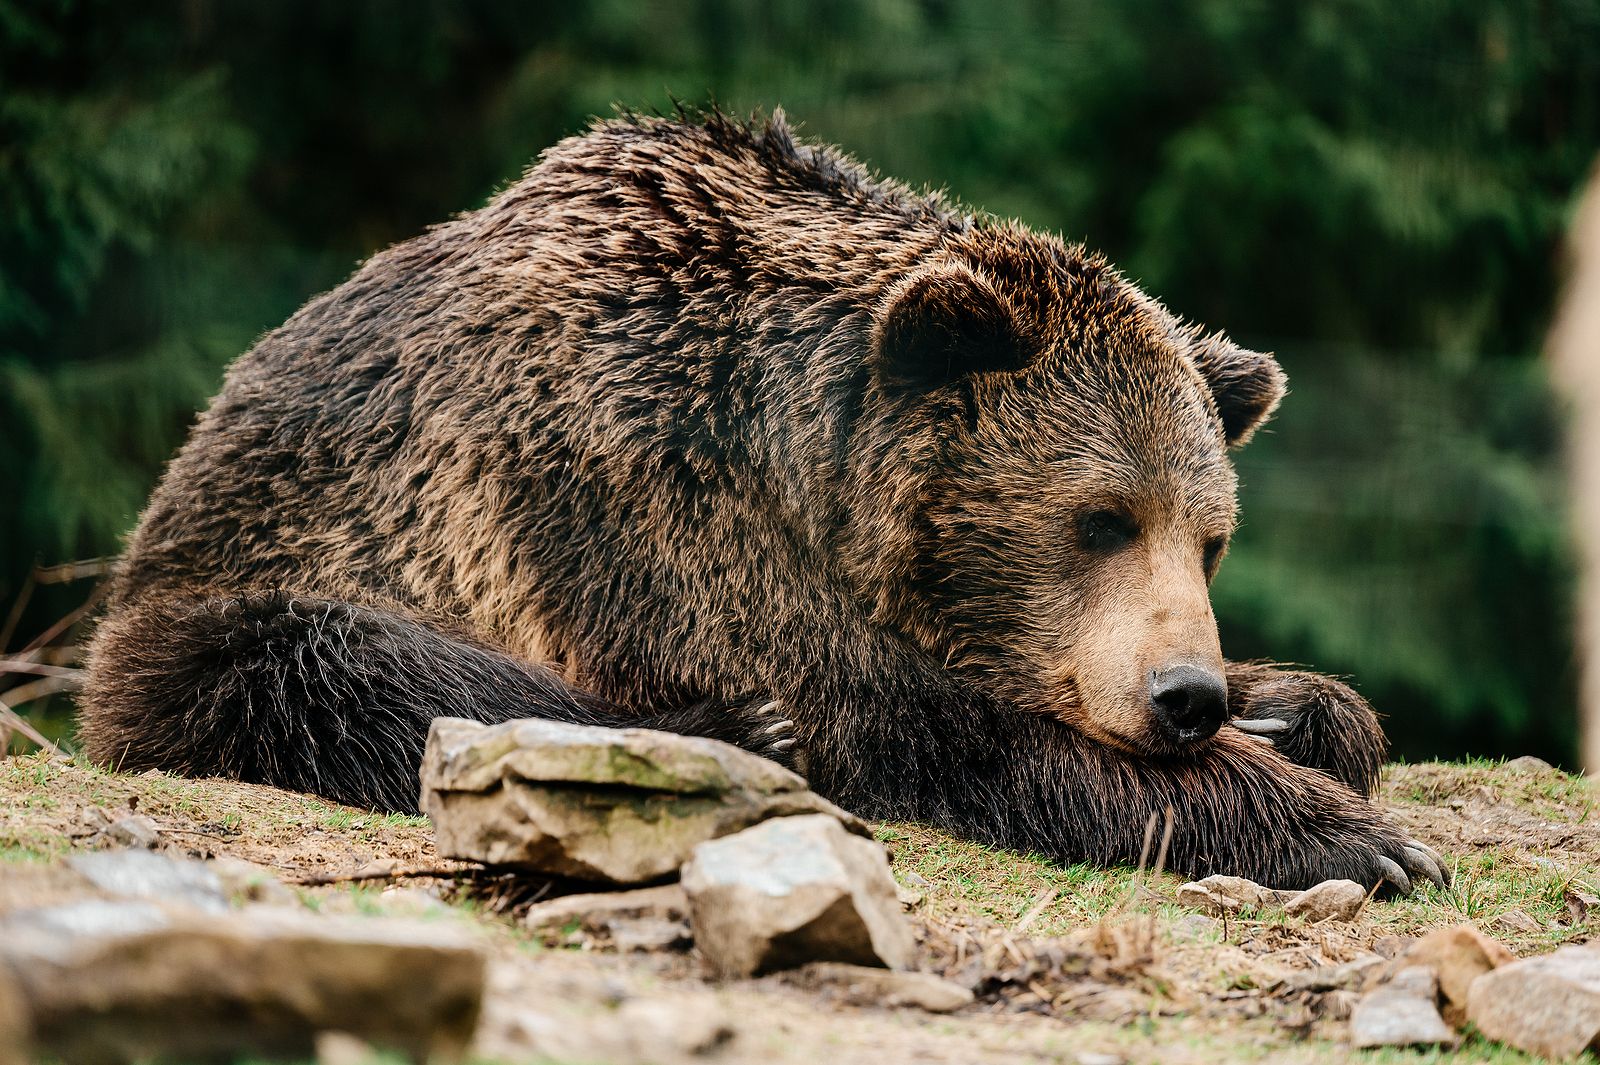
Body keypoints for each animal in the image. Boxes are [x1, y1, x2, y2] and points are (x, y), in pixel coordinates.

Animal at [78, 109, 1452, 889]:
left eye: (1207, 539)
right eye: (1097, 517)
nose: (1186, 696)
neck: (799, 456)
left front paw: (1300, 713)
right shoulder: (629, 489)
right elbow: (907, 725)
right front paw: (1357, 838)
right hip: (241, 581)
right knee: (339, 669)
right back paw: (734, 731)